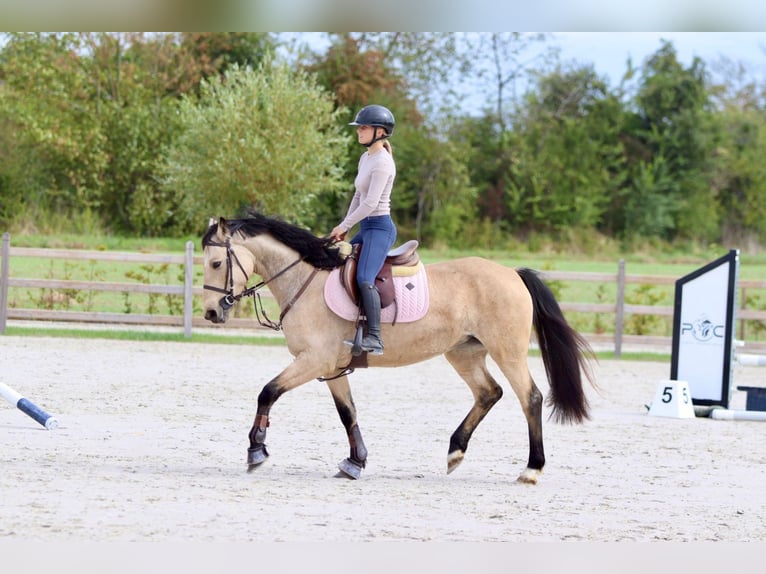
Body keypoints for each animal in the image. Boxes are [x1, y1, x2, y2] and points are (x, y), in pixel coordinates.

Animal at [201, 211, 596, 483]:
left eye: (217, 262)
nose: (211, 313)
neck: (305, 280)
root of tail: (512, 274)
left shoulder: (313, 361)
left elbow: (268, 392)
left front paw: (256, 450)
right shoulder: (331, 367)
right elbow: (348, 412)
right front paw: (355, 462)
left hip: (507, 351)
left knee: (529, 397)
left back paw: (531, 469)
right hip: (464, 352)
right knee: (489, 392)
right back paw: (455, 452)